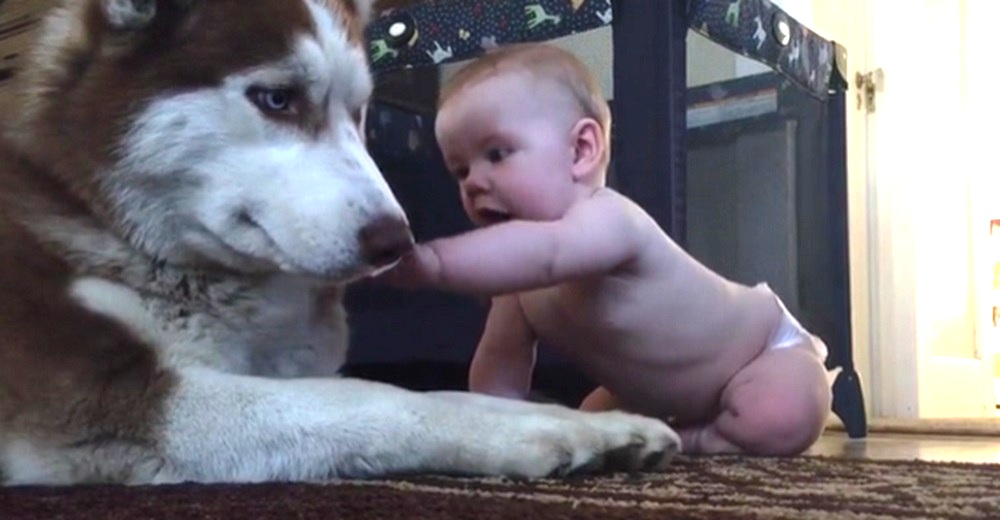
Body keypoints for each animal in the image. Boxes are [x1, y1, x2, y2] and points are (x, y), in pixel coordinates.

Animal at [0, 0, 680, 484]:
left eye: (361, 112)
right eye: (277, 98)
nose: (397, 242)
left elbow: (436, 388)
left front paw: (600, 424)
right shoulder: (101, 401)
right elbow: (370, 399)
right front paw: (533, 435)